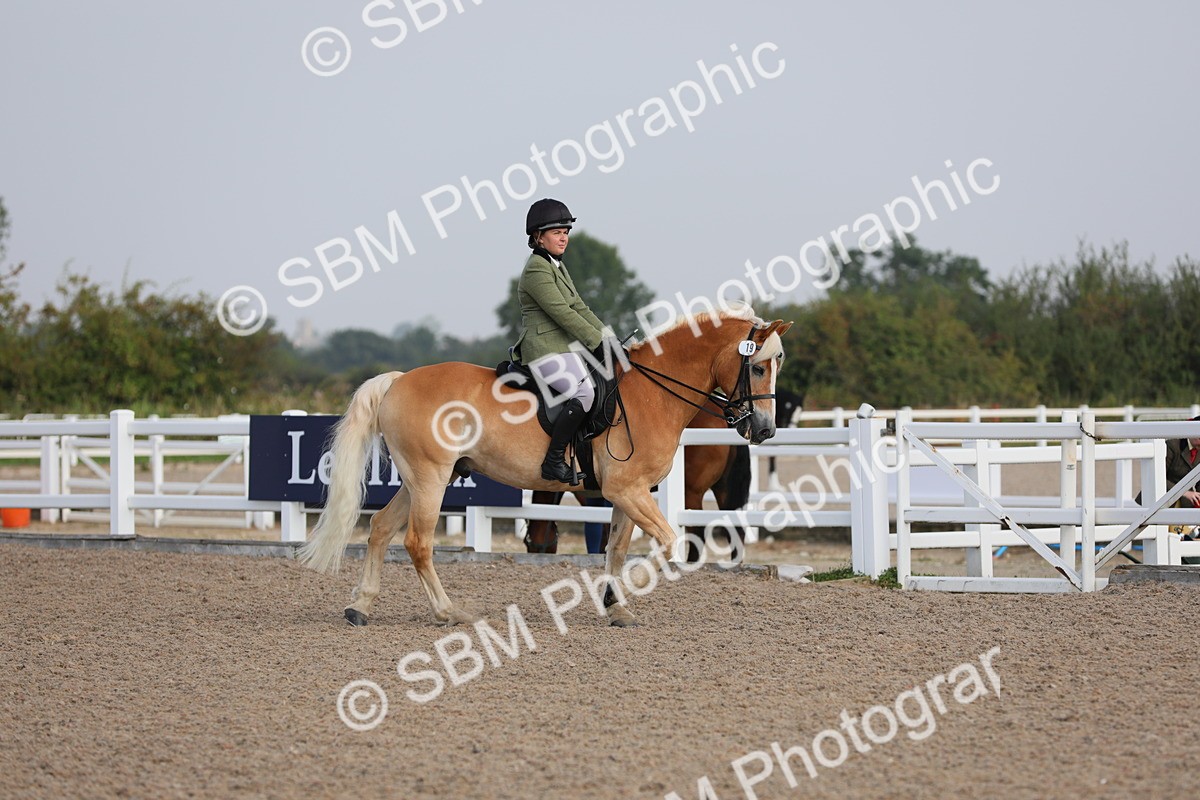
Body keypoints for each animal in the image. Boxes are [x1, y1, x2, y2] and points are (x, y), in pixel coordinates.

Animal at [298, 308, 791, 628]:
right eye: (759, 367)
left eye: (776, 365)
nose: (764, 429)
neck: (652, 394)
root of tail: (399, 380)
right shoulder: (626, 491)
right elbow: (668, 543)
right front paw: (624, 594)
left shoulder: (627, 495)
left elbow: (615, 549)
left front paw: (616, 607)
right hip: (431, 478)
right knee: (417, 543)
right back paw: (448, 612)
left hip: (421, 480)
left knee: (380, 528)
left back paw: (360, 607)